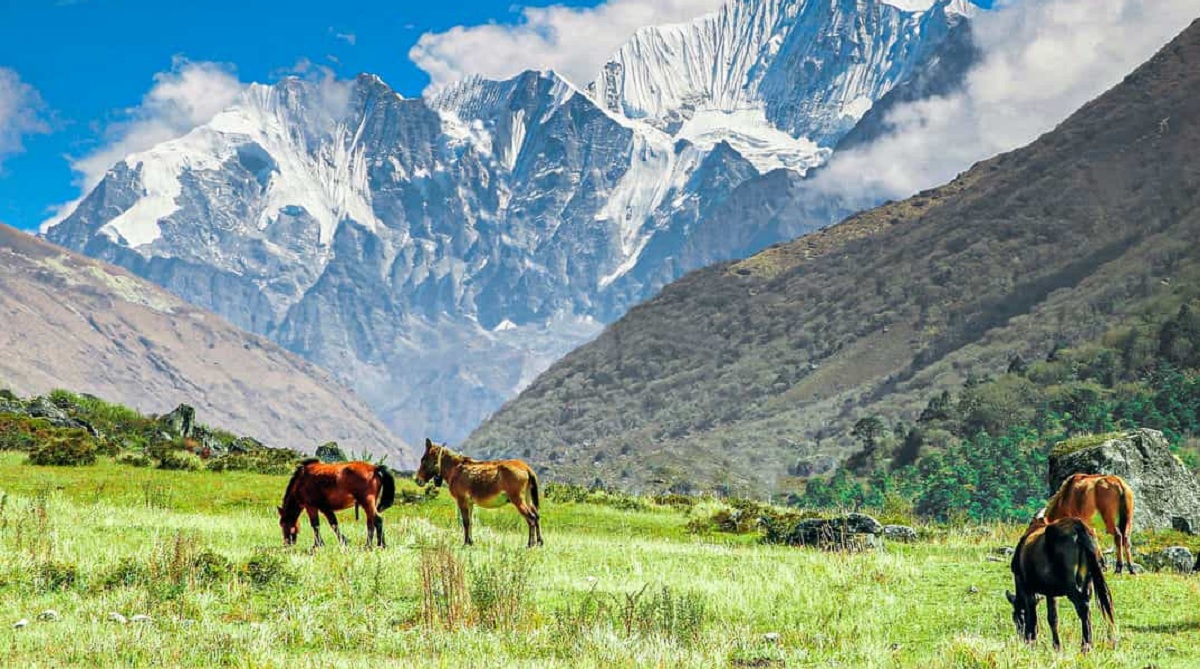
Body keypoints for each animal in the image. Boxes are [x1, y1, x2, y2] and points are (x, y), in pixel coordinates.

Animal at [412, 441, 544, 551]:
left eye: (424, 460)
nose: (417, 480)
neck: (455, 468)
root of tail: (526, 467)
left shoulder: (462, 501)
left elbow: (465, 522)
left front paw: (465, 543)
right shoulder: (470, 503)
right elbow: (470, 522)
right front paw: (471, 542)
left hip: (518, 500)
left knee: (531, 517)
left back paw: (530, 544)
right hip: (527, 499)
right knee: (536, 516)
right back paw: (539, 542)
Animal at [1003, 515, 1113, 652]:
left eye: (1015, 616)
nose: (1021, 638)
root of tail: (1079, 527)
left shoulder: (1027, 587)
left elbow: (1032, 617)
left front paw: (1032, 643)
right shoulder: (1050, 591)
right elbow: (1053, 618)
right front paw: (1056, 646)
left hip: (1071, 585)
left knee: (1082, 607)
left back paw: (1085, 645)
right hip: (1088, 581)